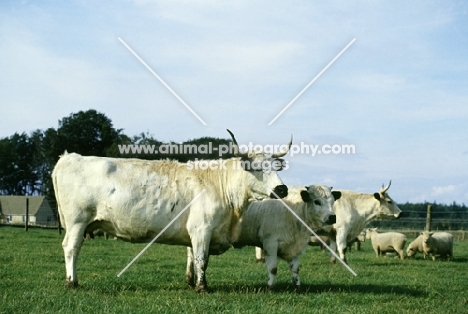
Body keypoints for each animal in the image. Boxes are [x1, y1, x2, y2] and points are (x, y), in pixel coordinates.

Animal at [53, 129, 290, 292]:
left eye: (275, 167)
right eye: (257, 168)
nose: (282, 188)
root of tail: (69, 157)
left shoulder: (197, 231)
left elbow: (193, 257)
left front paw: (192, 282)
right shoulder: (202, 229)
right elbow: (202, 259)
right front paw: (202, 287)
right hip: (77, 221)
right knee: (71, 248)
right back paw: (72, 282)